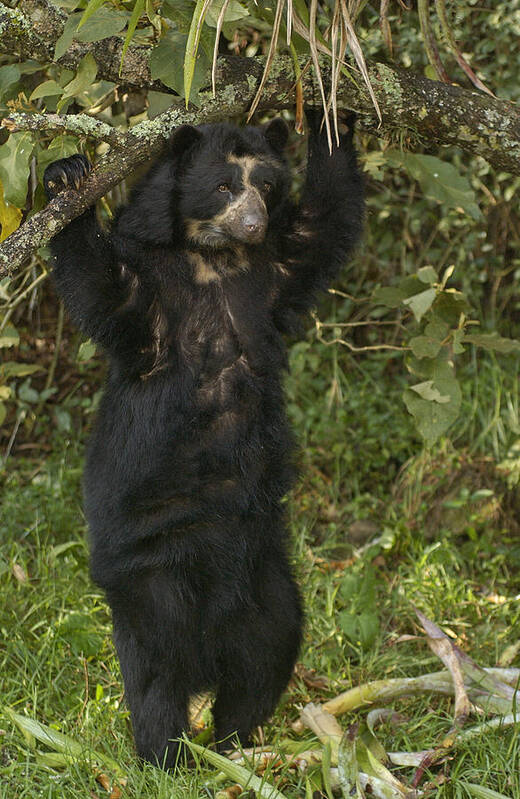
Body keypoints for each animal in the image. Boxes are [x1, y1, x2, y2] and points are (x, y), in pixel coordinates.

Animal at [42, 112, 364, 768]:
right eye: (221, 186)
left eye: (265, 184)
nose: (254, 222)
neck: (214, 259)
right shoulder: (151, 297)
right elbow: (103, 284)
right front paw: (67, 174)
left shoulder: (277, 271)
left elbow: (325, 220)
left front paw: (335, 101)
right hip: (153, 562)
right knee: (159, 665)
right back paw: (167, 757)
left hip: (265, 568)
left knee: (269, 647)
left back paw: (236, 745)